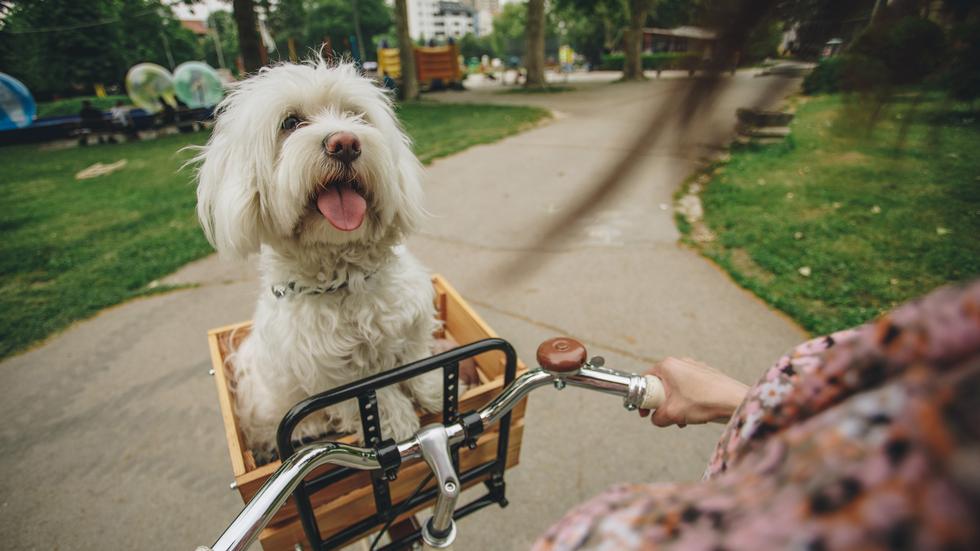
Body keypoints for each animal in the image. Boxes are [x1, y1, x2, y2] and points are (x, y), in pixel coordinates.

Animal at [194, 58, 444, 460]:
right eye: (290, 122)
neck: (346, 277)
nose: (345, 143)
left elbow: (418, 361)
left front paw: (436, 393)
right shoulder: (334, 374)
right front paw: (398, 425)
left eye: (355, 115)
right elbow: (377, 399)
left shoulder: (413, 323)